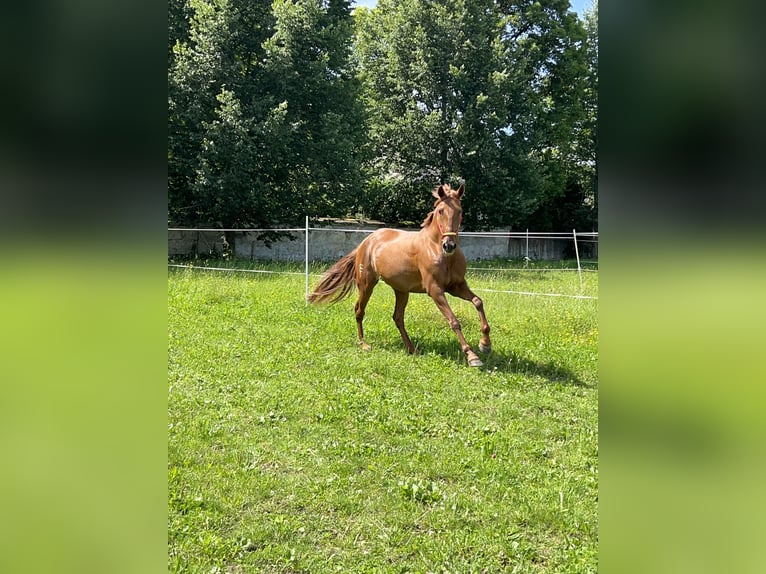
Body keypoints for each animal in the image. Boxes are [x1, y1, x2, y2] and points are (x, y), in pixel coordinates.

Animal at [310, 184, 496, 368]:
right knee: (359, 310)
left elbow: (478, 301)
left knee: (398, 317)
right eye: (441, 211)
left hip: (401, 291)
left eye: (460, 211)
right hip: (366, 285)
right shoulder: (435, 290)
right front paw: (472, 356)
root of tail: (366, 241)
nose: (449, 245)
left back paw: (412, 349)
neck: (438, 250)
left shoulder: (457, 286)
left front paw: (485, 345)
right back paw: (364, 344)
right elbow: (454, 321)